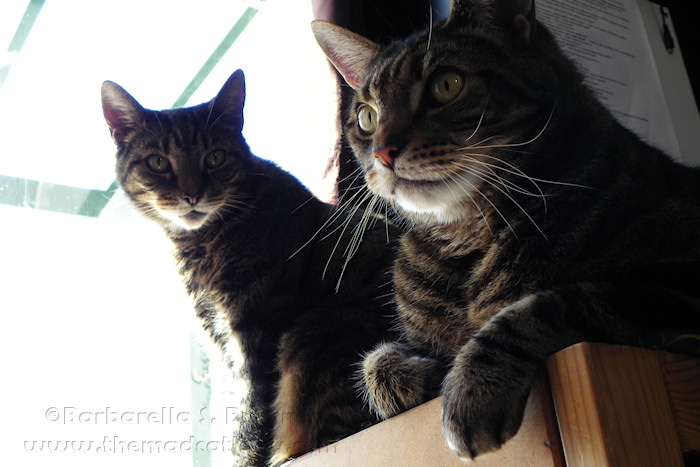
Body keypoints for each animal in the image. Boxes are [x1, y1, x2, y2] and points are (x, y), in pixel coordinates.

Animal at [100, 69, 400, 466]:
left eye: (215, 157)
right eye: (158, 163)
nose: (192, 195)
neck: (199, 245)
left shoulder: (256, 335)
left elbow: (250, 422)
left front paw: (245, 457)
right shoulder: (220, 340)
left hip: (315, 334)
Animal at [312, 0, 700, 460]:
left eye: (446, 84)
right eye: (367, 117)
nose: (384, 152)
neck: (465, 238)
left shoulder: (675, 277)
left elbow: (550, 304)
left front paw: (471, 388)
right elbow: (374, 363)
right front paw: (423, 376)